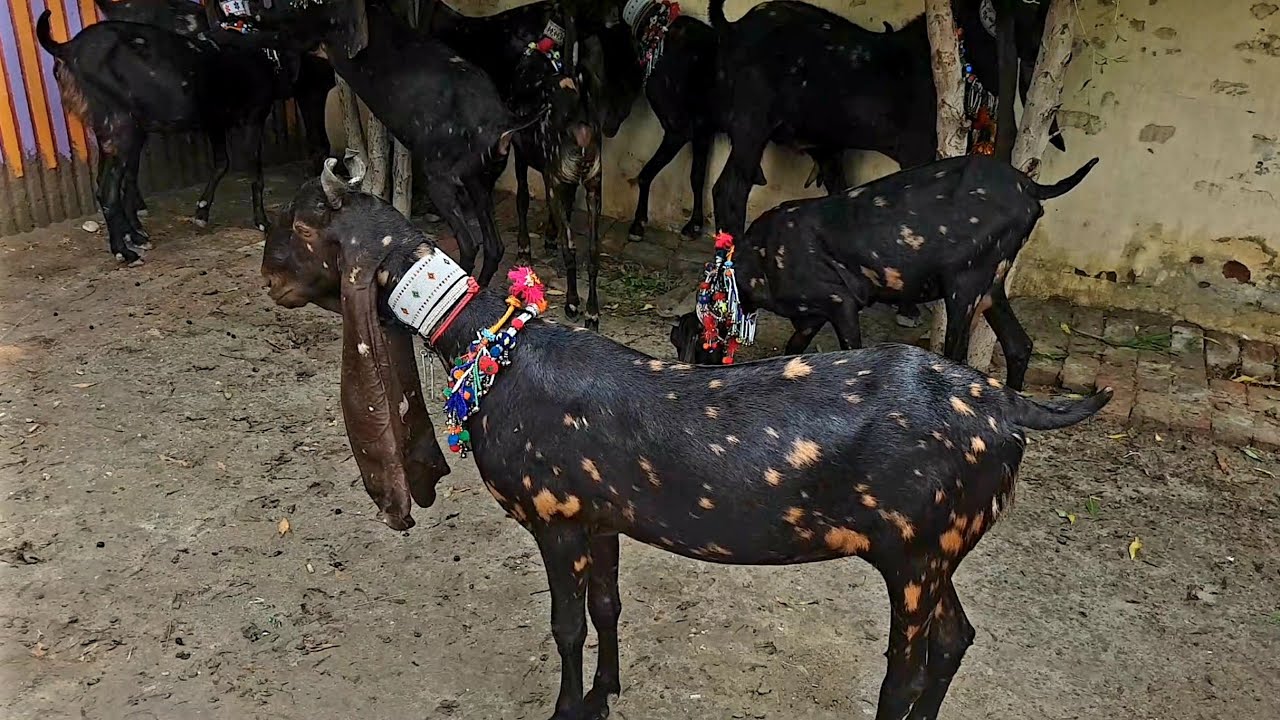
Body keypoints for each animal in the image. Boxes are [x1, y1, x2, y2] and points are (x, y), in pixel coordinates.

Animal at [38, 10, 289, 264]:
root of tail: (67, 48)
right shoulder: (254, 118)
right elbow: (256, 175)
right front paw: (262, 222)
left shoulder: (215, 122)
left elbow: (221, 164)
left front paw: (202, 211)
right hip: (122, 128)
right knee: (107, 191)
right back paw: (123, 251)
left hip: (112, 133)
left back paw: (136, 237)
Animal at [673, 154, 1099, 390]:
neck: (754, 263)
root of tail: (1032, 187)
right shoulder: (810, 317)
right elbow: (792, 350)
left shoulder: (840, 304)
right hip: (992, 288)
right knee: (1019, 346)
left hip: (964, 289)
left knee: (962, 358)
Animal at [707, 0, 1063, 240]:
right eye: (1030, 2)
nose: (1042, 46)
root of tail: (734, 28)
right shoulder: (919, 152)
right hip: (751, 127)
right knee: (729, 191)